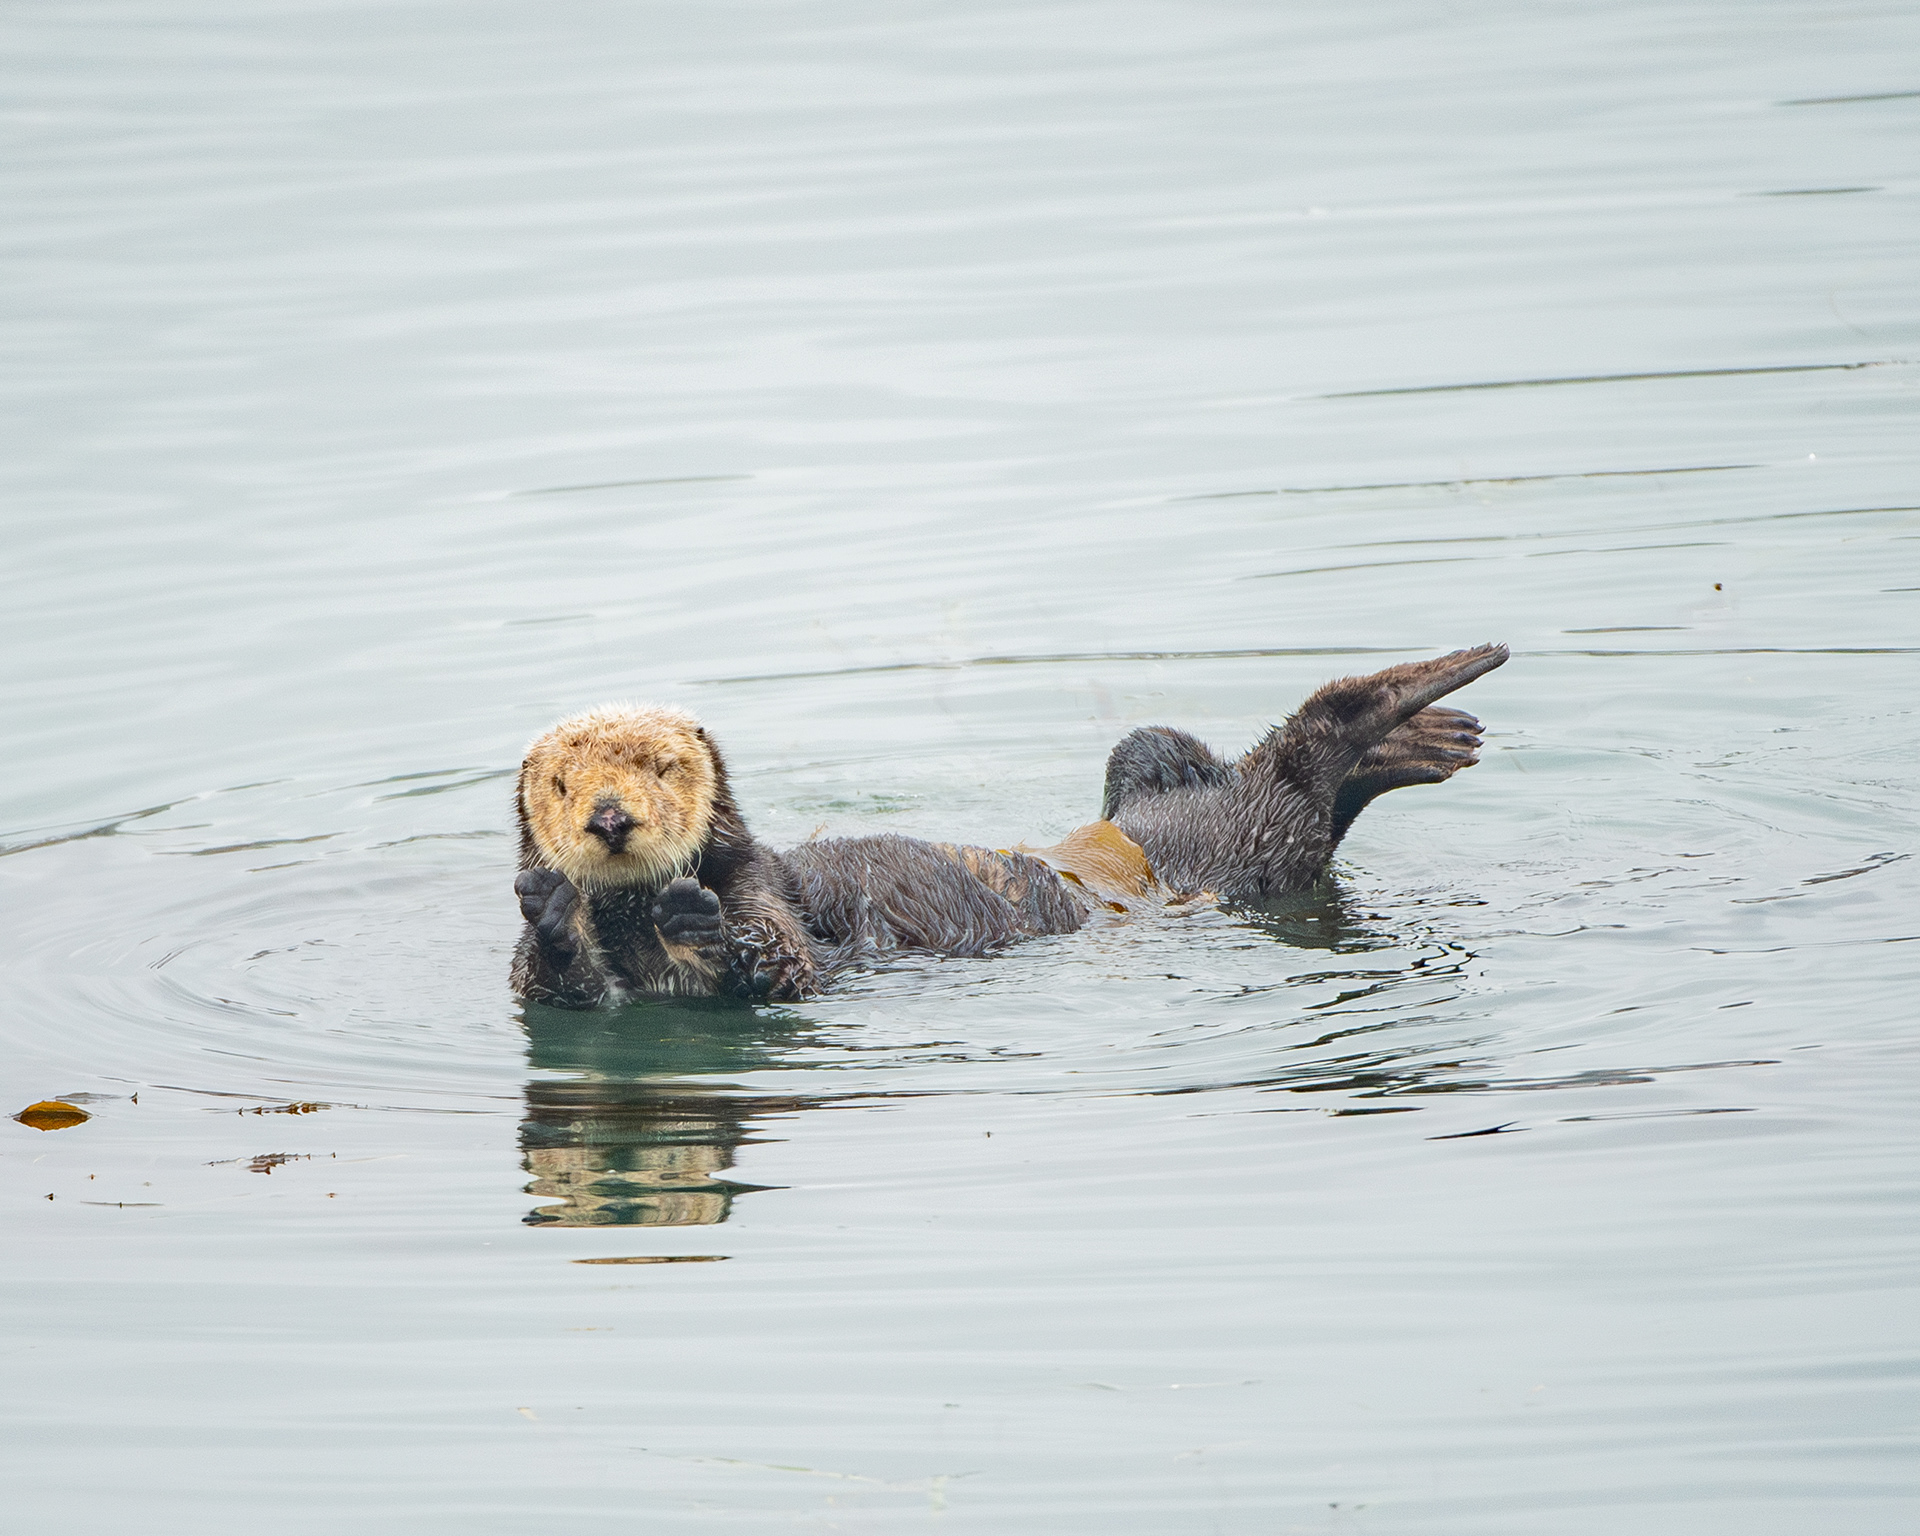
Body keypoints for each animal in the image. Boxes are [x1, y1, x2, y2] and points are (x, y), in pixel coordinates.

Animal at [511, 644, 1507, 1006]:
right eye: (562, 784)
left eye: (661, 768)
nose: (609, 816)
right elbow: (557, 989)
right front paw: (550, 909)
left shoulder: (754, 880)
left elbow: (782, 963)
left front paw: (697, 918)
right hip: (1229, 835)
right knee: (1293, 796)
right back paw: (1418, 738)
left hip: (1190, 803)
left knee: (1286, 765)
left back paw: (1420, 709)